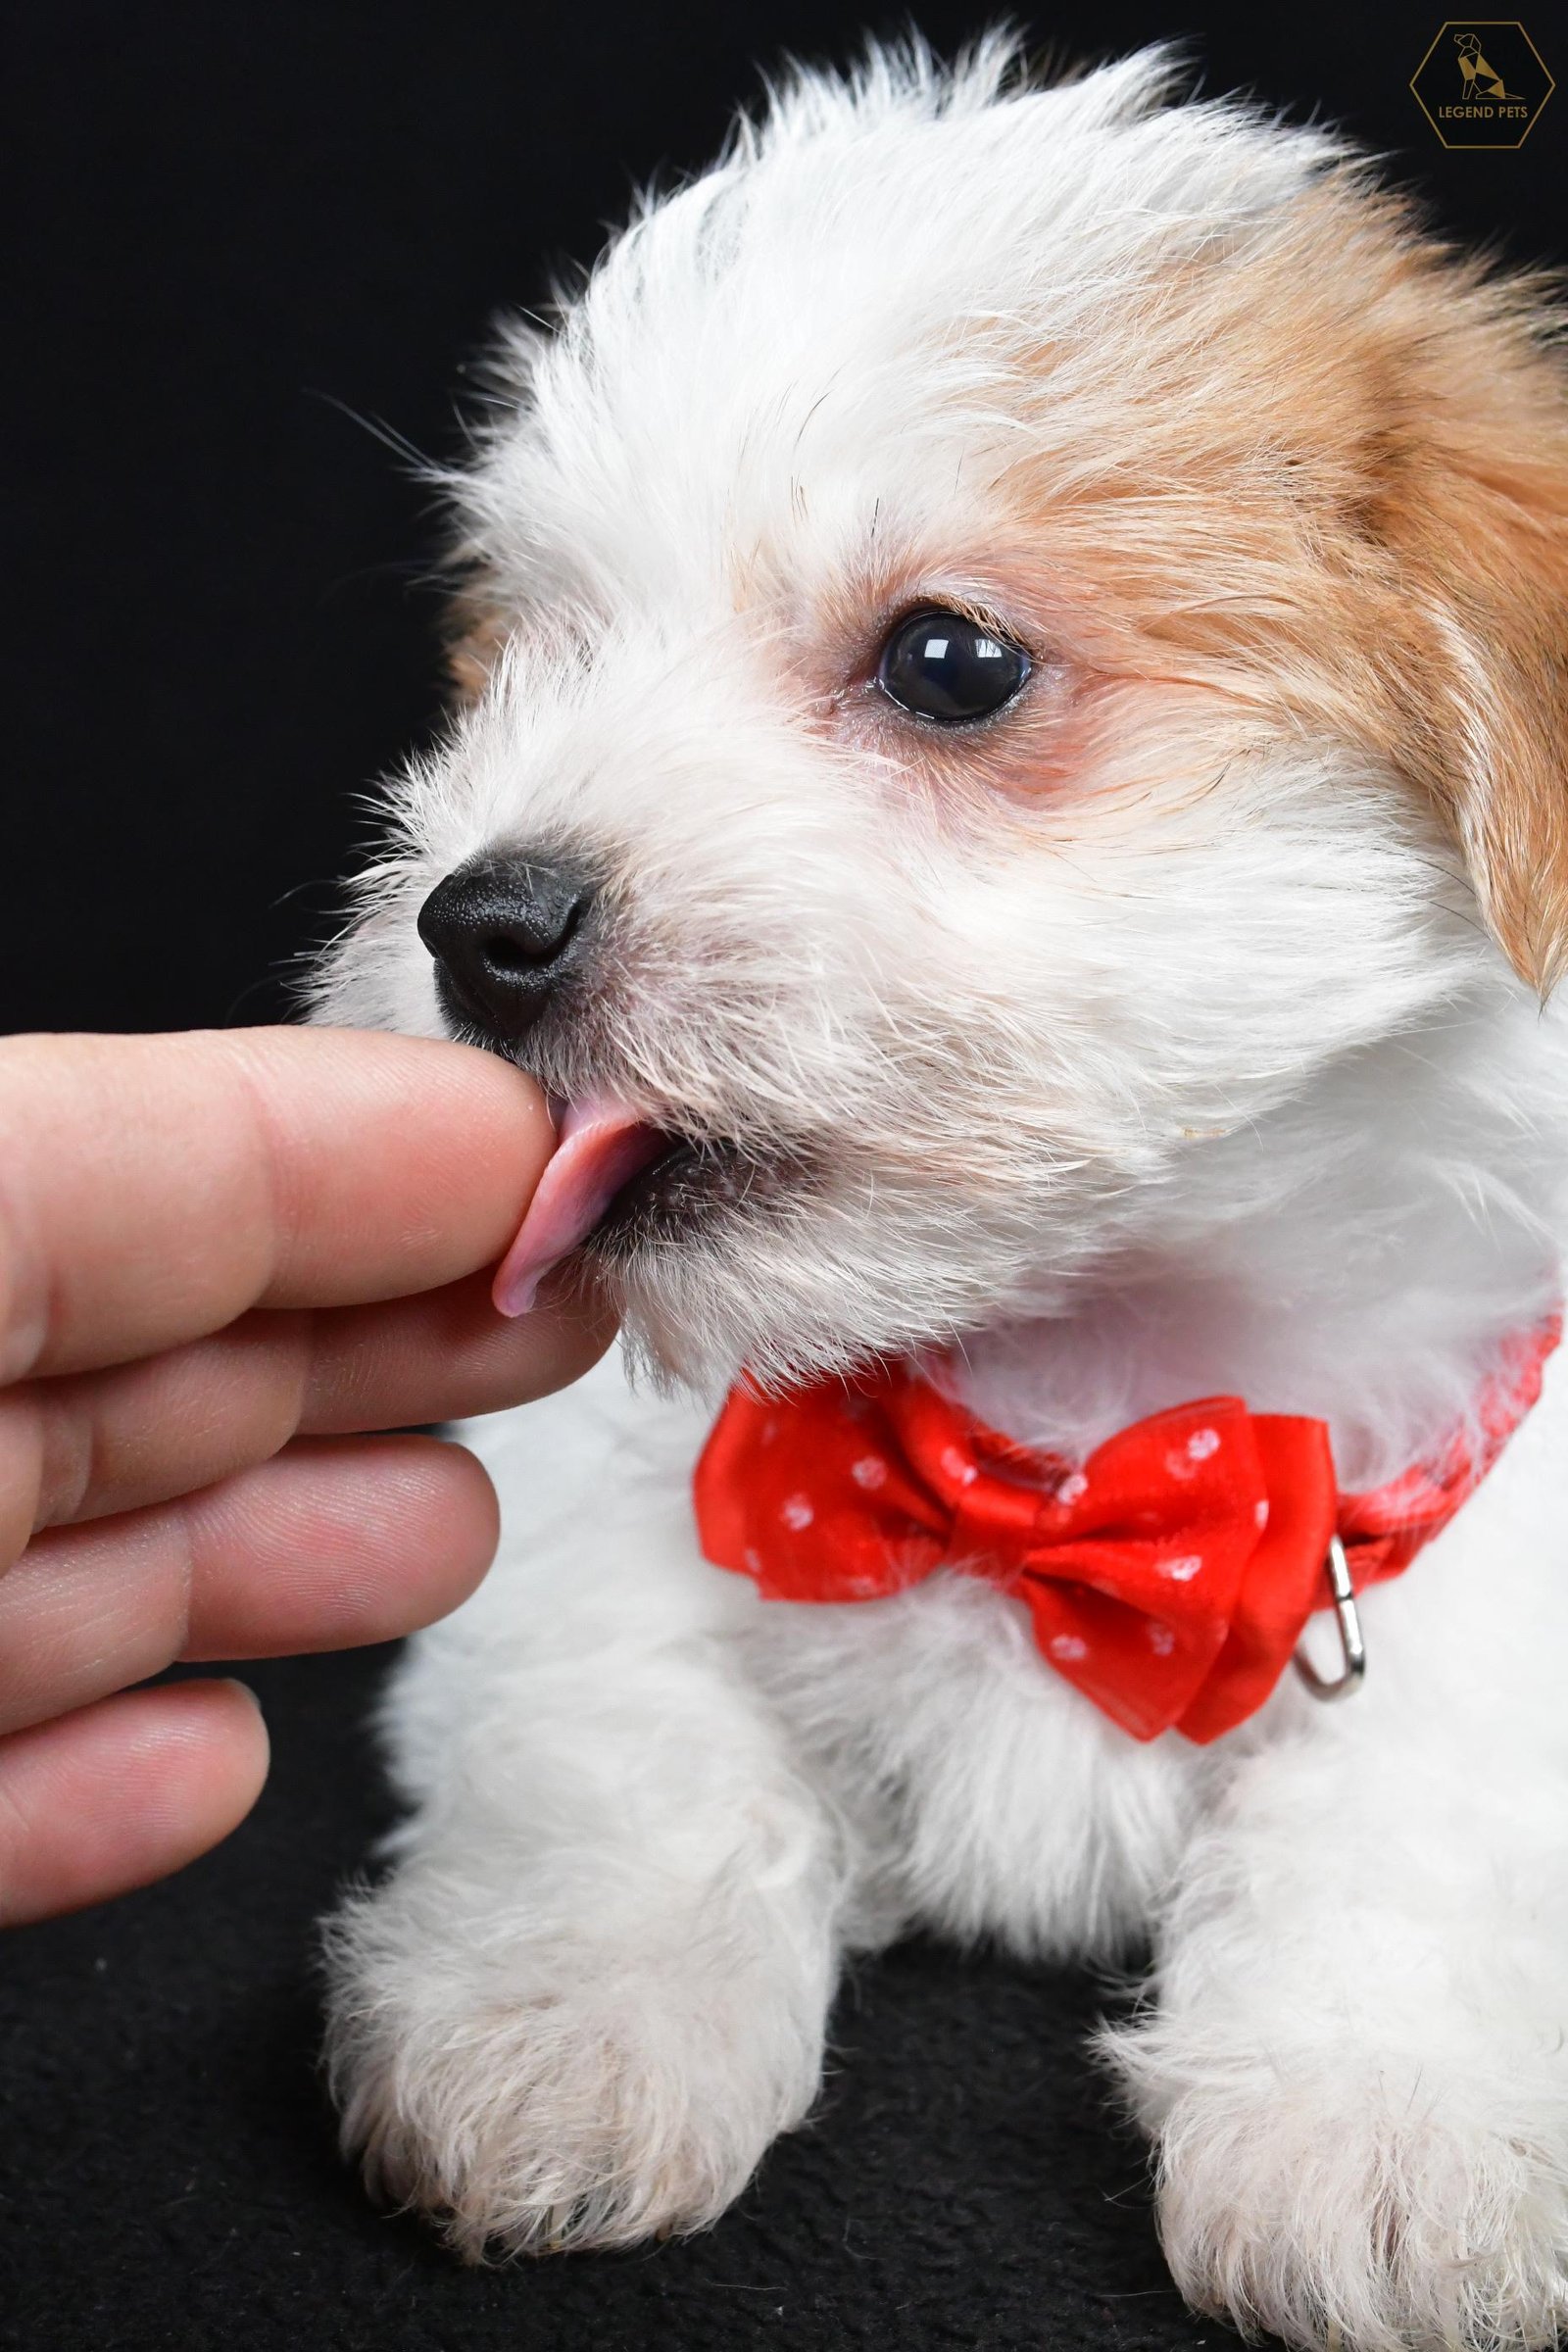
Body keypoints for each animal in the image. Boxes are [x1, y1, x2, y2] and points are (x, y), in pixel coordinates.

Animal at [312, 38, 1568, 2351]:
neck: (1063, 1444)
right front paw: (567, 2020)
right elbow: (626, 1751)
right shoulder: (576, 1521)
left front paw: (1391, 2123)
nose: (479, 923)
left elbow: (1424, 1817)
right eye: (529, 657)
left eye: (950, 663)